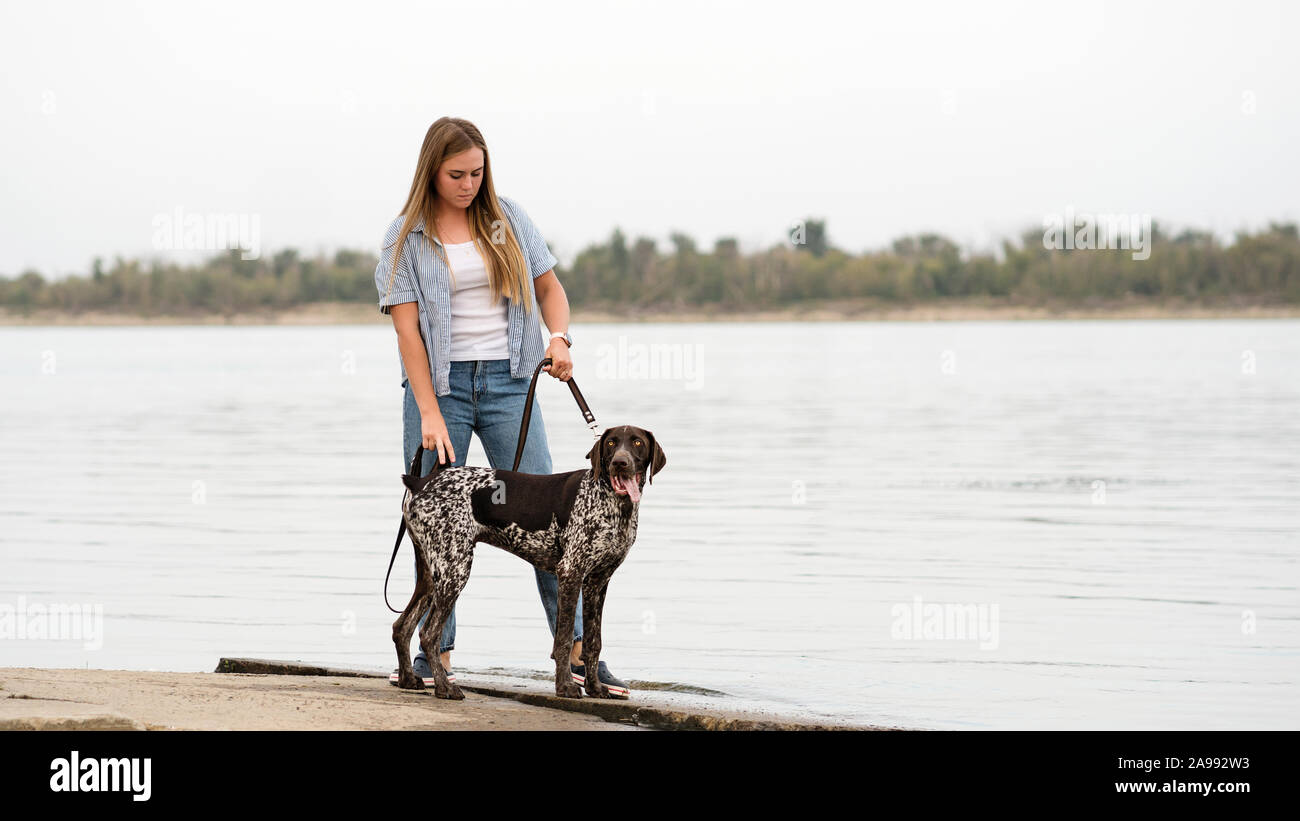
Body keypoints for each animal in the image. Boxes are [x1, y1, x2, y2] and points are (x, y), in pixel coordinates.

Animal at [390, 423, 665, 701]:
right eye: (611, 443)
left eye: (637, 443)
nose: (620, 462)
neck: (614, 502)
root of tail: (421, 482)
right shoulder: (571, 572)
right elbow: (564, 638)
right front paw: (565, 686)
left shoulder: (597, 583)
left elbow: (592, 641)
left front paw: (595, 687)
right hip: (454, 570)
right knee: (428, 634)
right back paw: (444, 687)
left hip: (431, 574)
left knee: (402, 626)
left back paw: (408, 680)